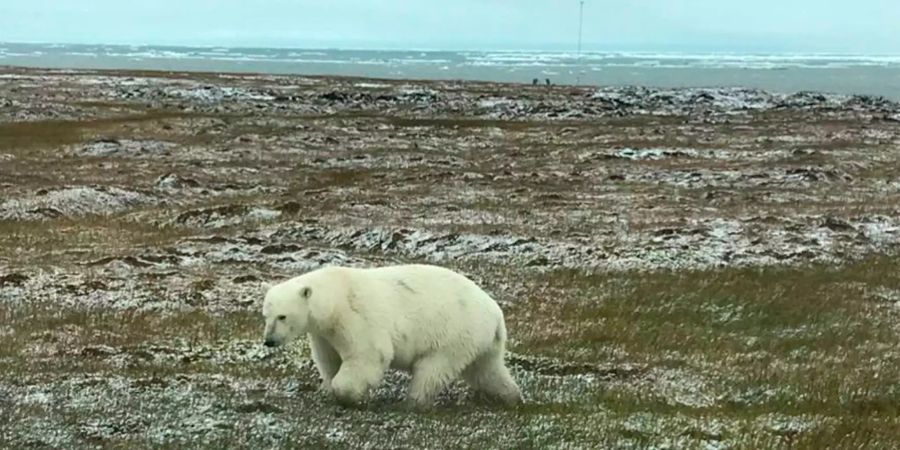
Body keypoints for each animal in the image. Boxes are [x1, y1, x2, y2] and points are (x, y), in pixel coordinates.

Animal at [260, 264, 524, 408]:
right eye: (265, 315)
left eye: (282, 316)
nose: (269, 341)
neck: (334, 296)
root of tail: (496, 314)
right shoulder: (323, 333)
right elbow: (329, 359)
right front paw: (328, 389)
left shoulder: (353, 317)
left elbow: (368, 354)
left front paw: (346, 394)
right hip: (479, 340)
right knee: (486, 370)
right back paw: (511, 397)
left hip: (453, 334)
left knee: (432, 370)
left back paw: (412, 403)